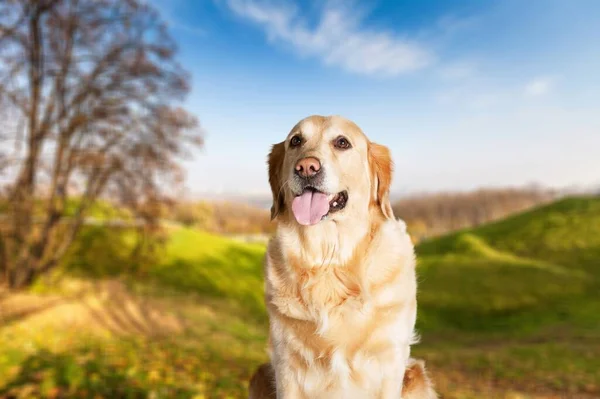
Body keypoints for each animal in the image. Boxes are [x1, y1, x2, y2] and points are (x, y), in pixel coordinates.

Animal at [248, 114, 436, 398]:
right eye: (296, 141)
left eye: (342, 142)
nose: (306, 167)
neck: (330, 259)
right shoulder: (285, 363)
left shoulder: (391, 361)